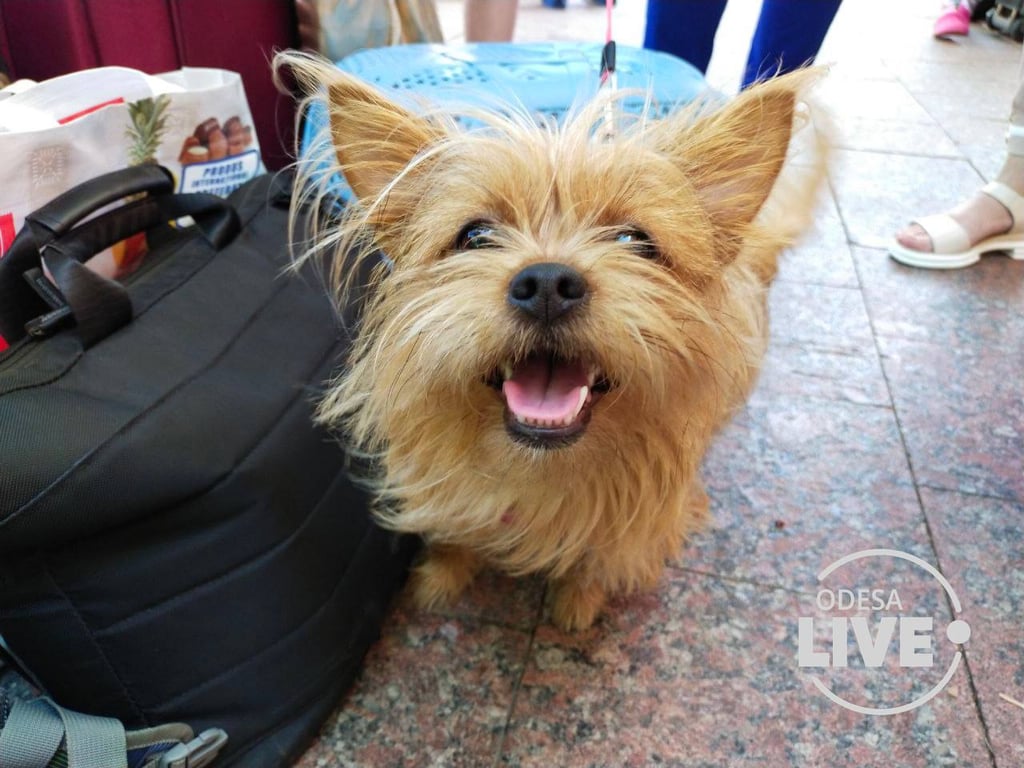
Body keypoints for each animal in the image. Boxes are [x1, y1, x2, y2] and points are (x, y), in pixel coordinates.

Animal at [286, 55, 823, 630]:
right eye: (475, 236)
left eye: (635, 240)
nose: (546, 283)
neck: (541, 471)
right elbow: (457, 531)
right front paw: (443, 575)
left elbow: (601, 558)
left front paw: (579, 602)